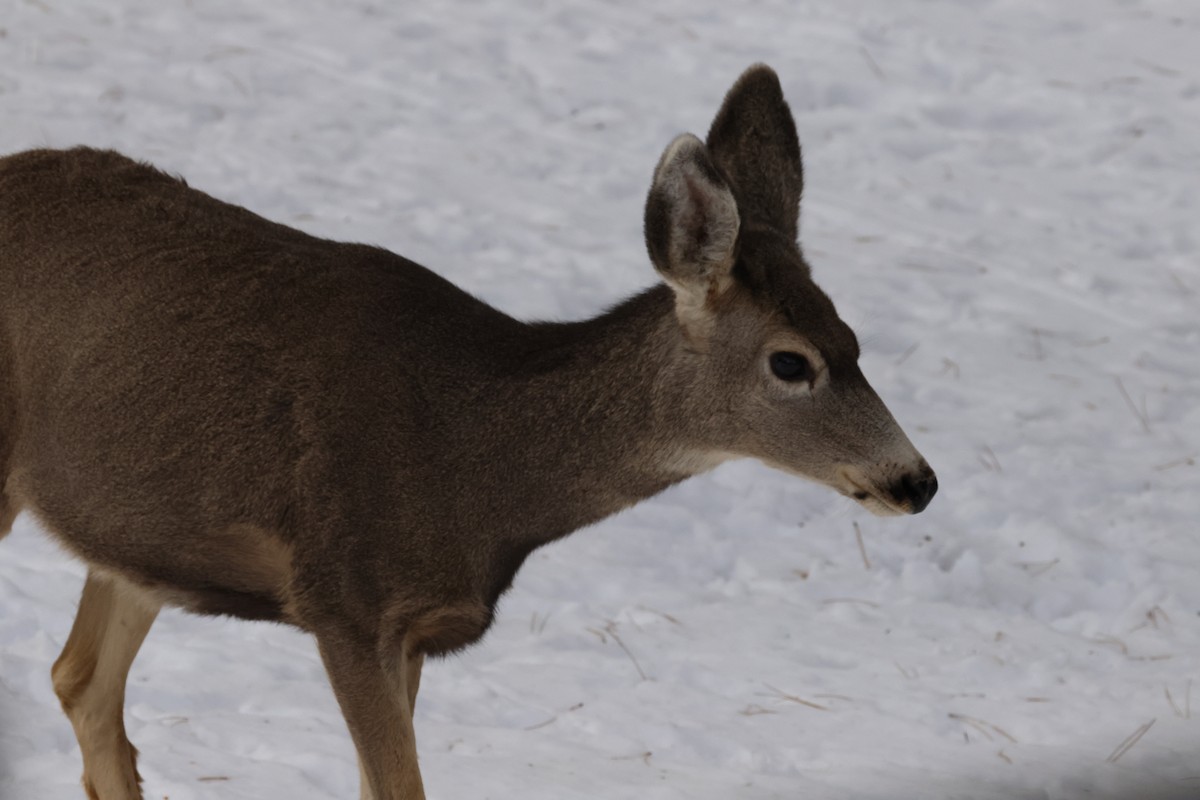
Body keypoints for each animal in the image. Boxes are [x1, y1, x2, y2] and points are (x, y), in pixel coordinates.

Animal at [0, 64, 936, 799]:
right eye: (791, 362)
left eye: (853, 339)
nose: (916, 480)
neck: (476, 470)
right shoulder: (344, 599)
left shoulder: (413, 627)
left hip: (133, 534)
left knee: (82, 682)